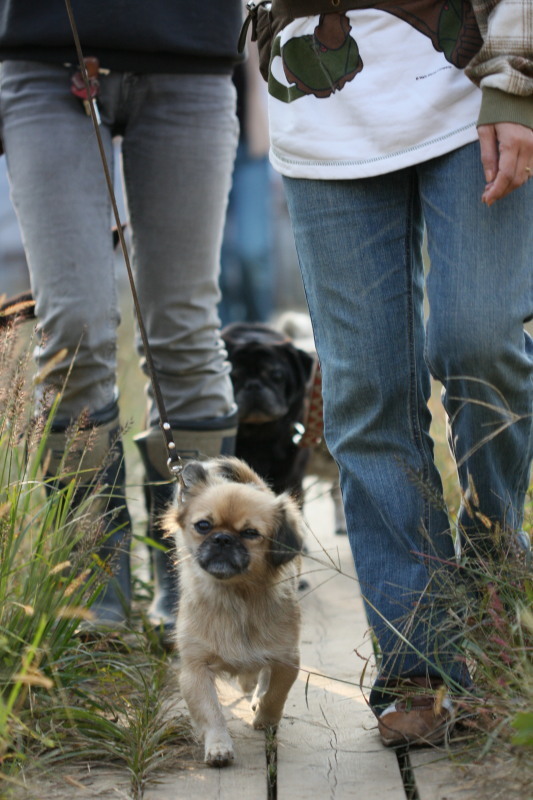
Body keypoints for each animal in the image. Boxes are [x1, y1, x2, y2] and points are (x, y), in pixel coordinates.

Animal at [168, 460, 304, 764]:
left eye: (250, 533)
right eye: (203, 525)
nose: (222, 539)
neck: (234, 597)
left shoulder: (287, 659)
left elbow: (275, 694)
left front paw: (265, 718)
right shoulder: (195, 669)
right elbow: (210, 712)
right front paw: (218, 746)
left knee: (263, 678)